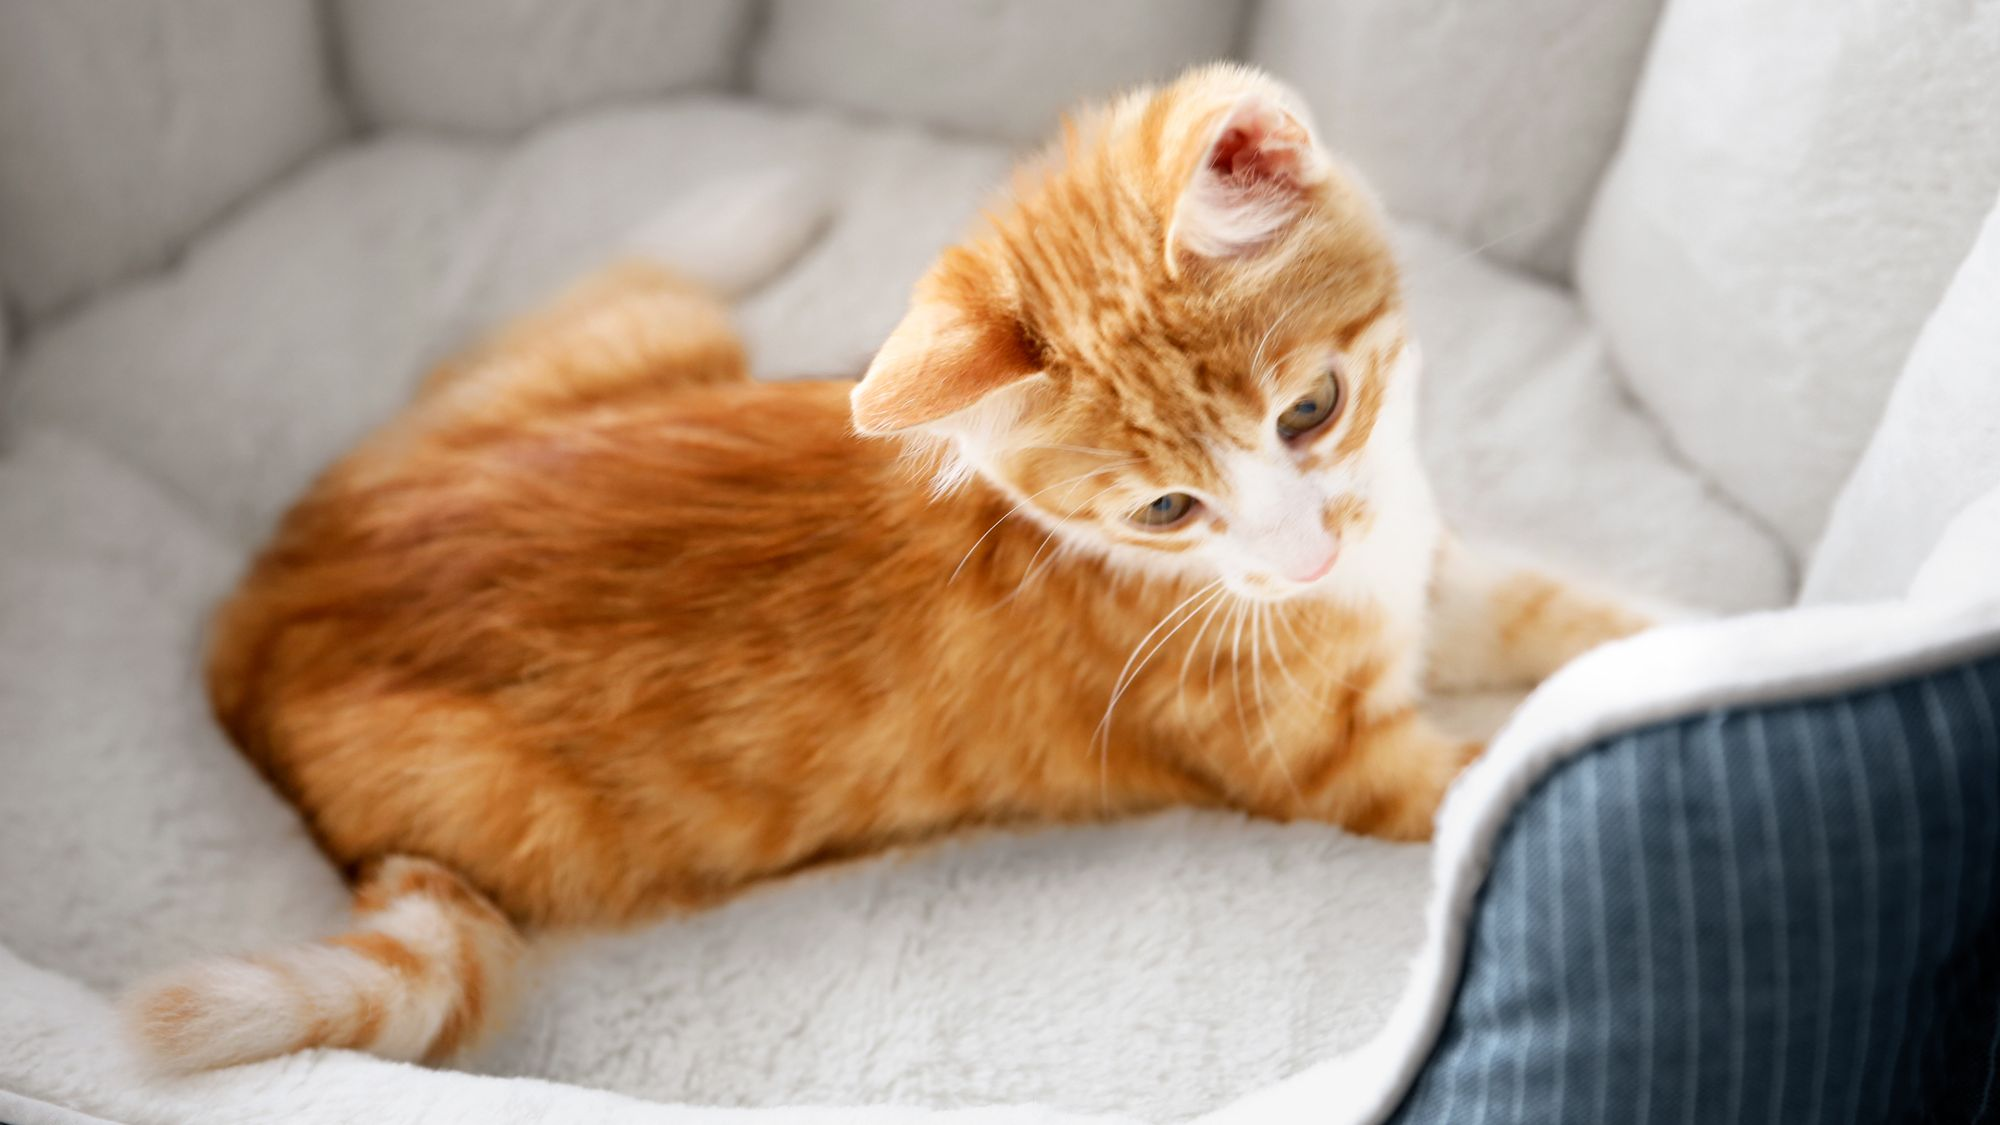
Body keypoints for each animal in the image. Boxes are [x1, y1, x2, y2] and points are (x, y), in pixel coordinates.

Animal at [129, 63, 1656, 1064]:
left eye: (1310, 413)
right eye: (1168, 510)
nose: (1299, 553)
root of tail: (258, 614)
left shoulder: (1411, 555)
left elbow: (1559, 607)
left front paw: (1692, 641)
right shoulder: (1321, 758)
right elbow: (1480, 778)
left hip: (602, 367)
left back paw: (756, 213)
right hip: (508, 816)